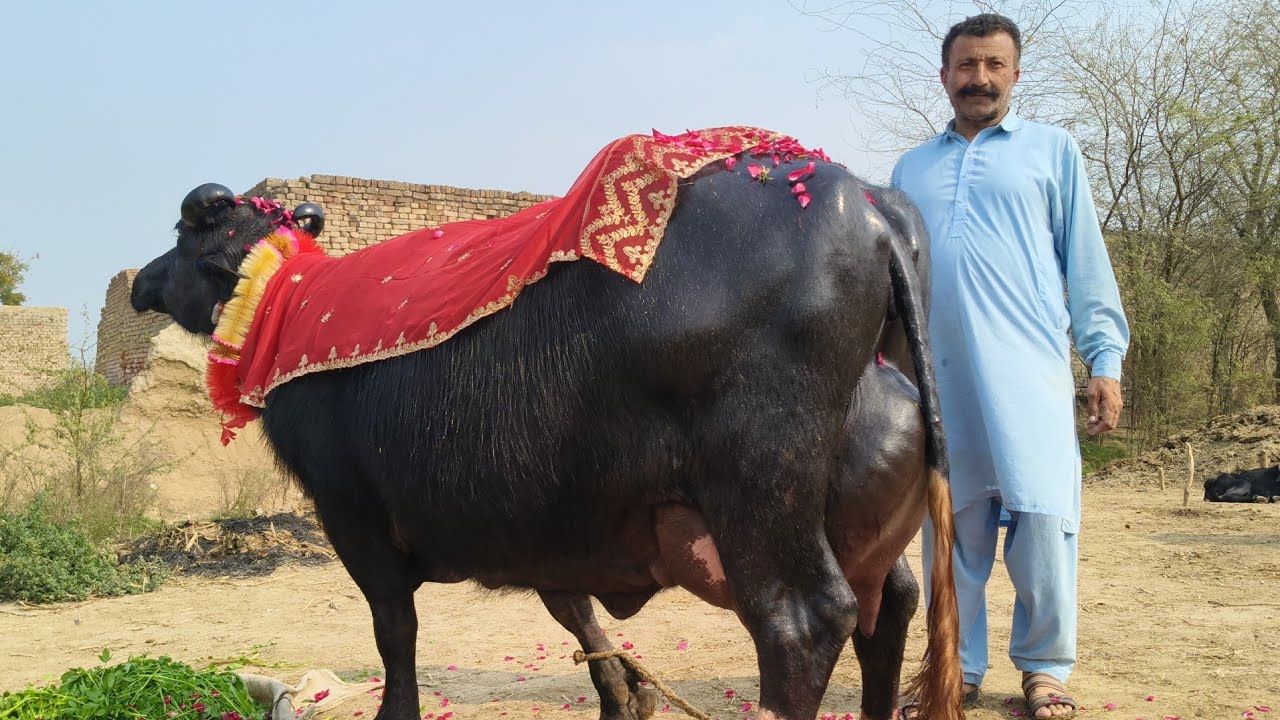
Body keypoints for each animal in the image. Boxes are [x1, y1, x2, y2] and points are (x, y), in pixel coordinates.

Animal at [132, 150, 963, 720]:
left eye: (182, 231)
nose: (139, 281)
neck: (290, 309)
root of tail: (871, 209)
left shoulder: (353, 520)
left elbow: (395, 634)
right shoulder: (553, 530)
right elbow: (580, 619)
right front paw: (624, 694)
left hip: (760, 489)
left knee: (800, 622)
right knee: (891, 605)